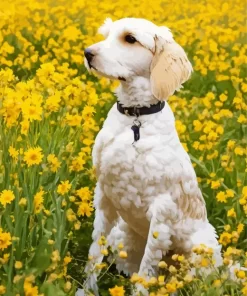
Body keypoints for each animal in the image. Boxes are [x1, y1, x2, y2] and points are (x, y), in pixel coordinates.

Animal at [78, 17, 223, 294]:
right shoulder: (104, 196)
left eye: (130, 39)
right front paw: (86, 290)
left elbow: (146, 270)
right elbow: (94, 252)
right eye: (107, 34)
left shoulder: (162, 214)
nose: (87, 53)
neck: (136, 117)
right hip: (121, 235)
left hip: (202, 249)